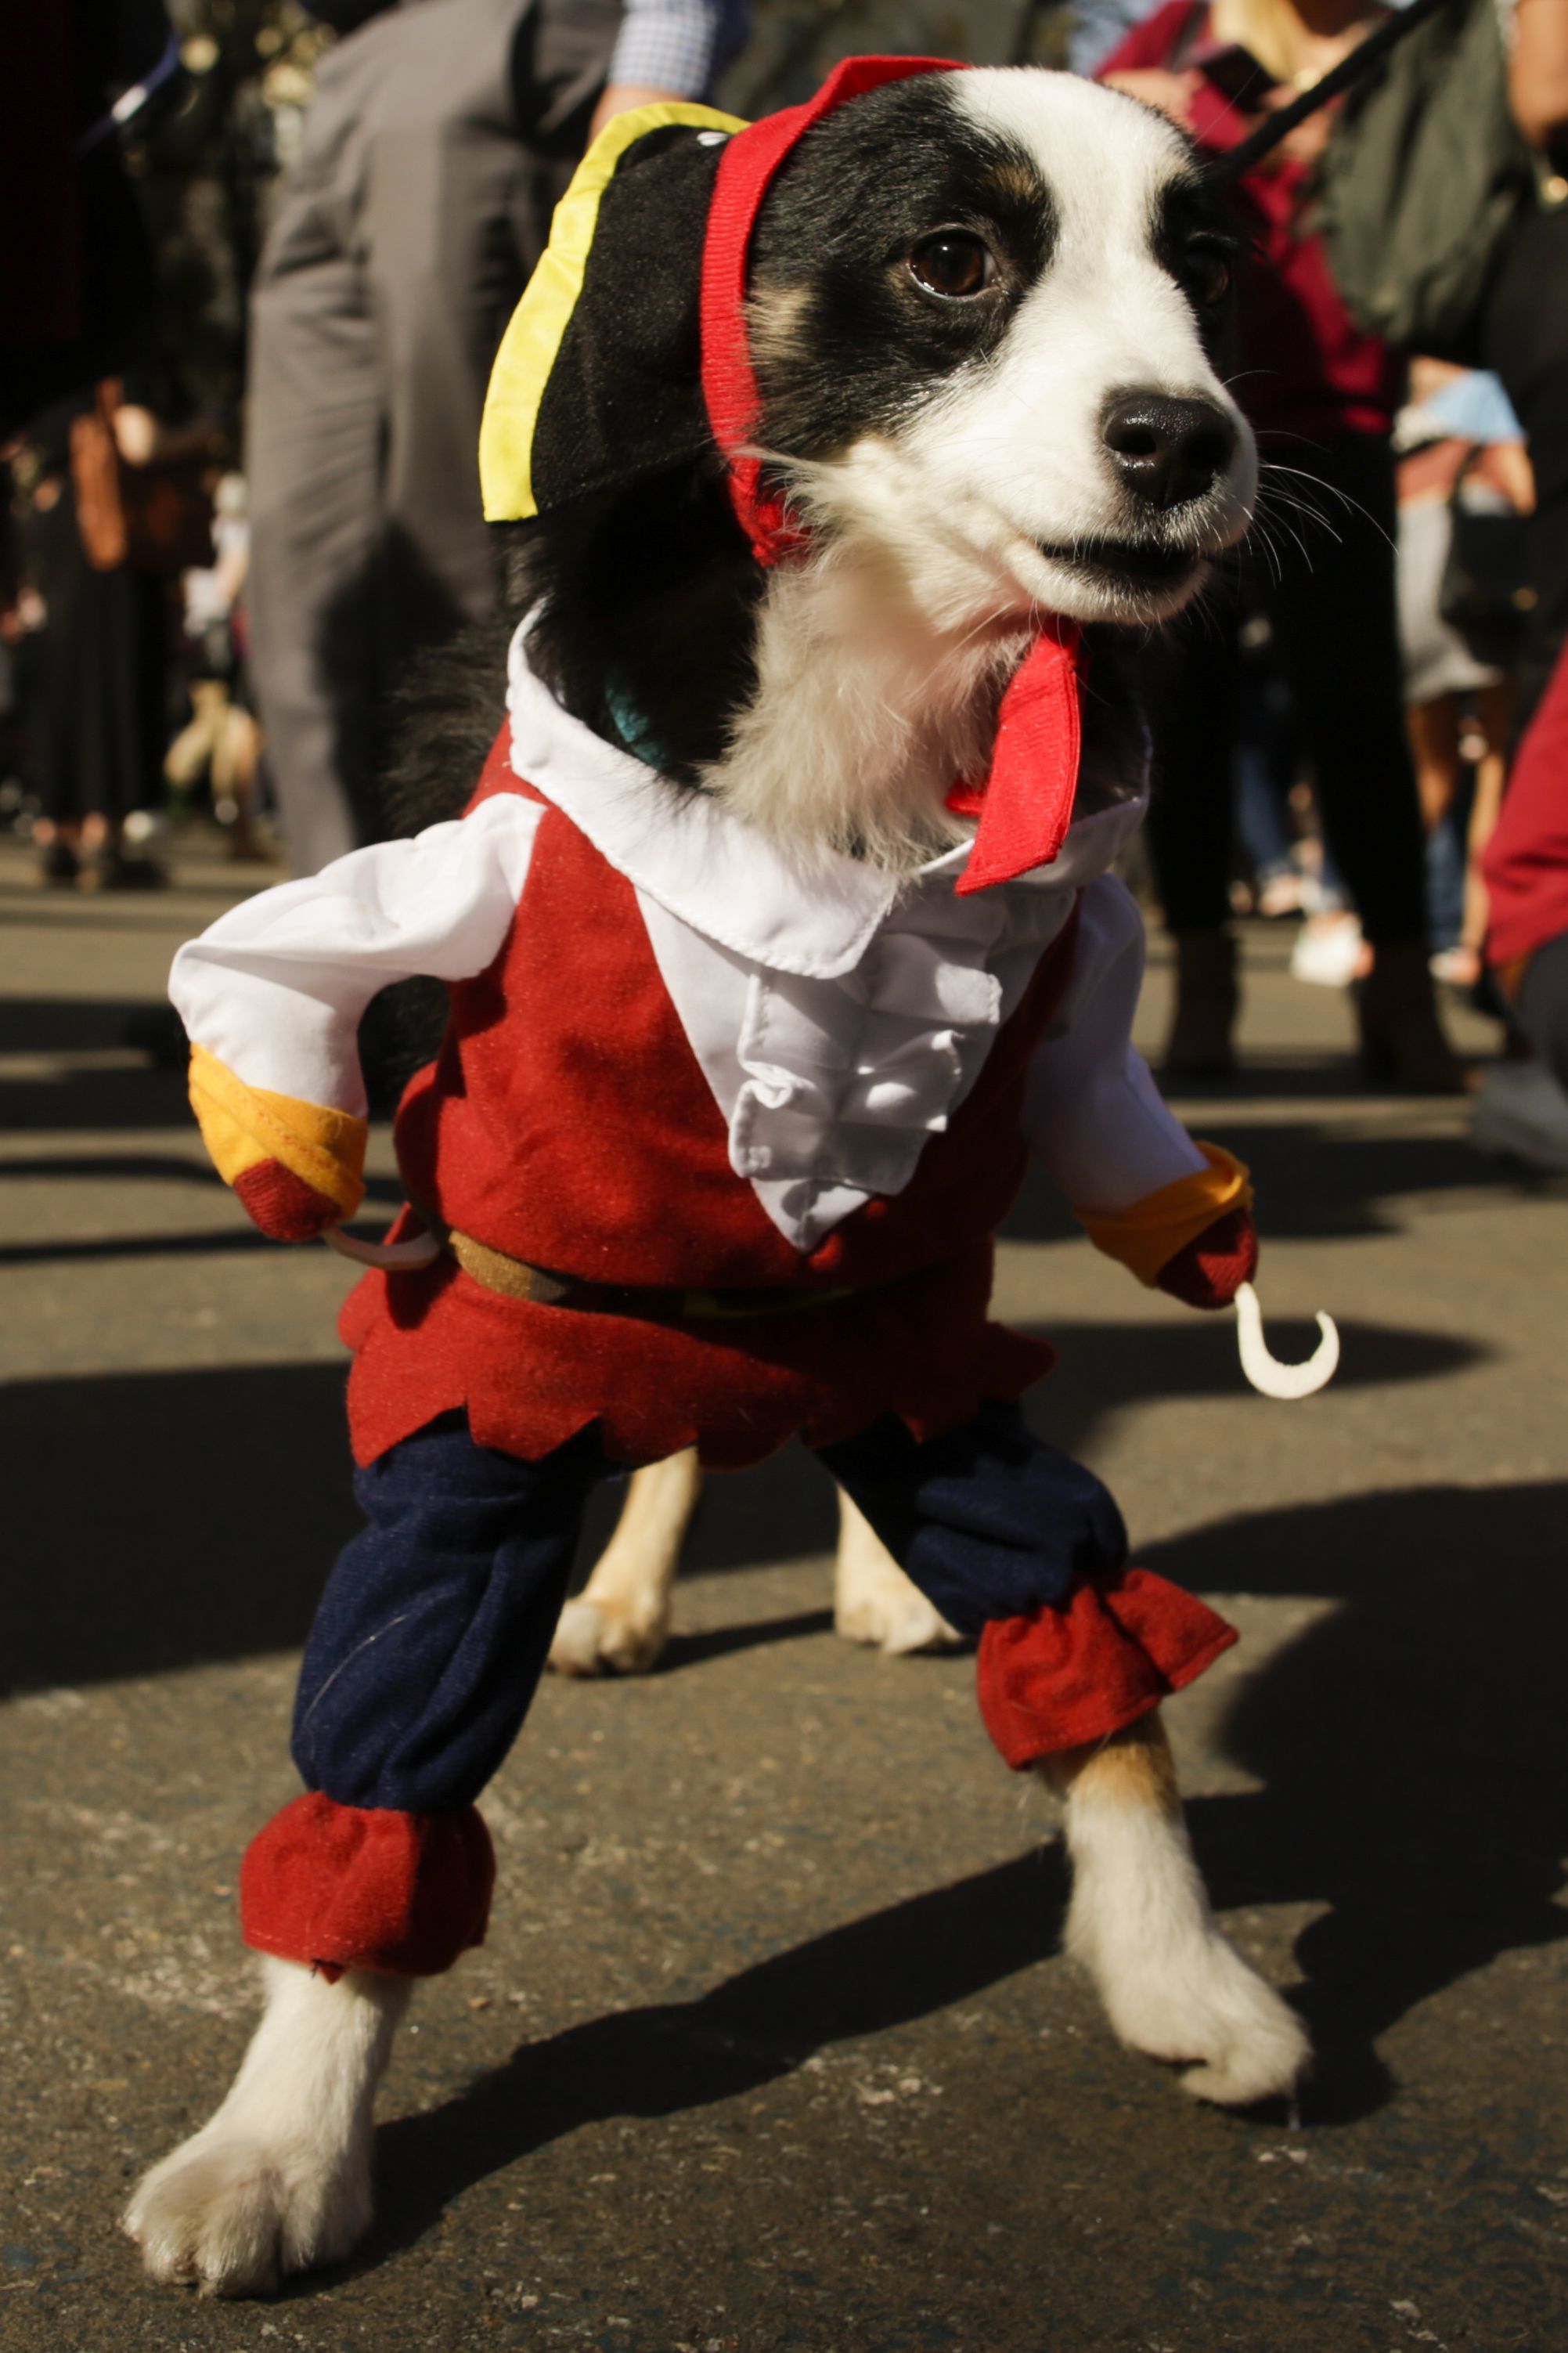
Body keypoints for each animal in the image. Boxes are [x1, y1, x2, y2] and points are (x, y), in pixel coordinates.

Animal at [125, 64, 1316, 2286]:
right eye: (952, 258)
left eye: (1205, 271)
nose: (1186, 437)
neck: (867, 716)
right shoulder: (503, 1335)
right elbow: (380, 1777)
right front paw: (279, 2141)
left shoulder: (927, 1286)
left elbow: (1086, 1637)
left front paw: (1174, 1966)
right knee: (687, 1416)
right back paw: (632, 1588)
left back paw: (863, 1569)